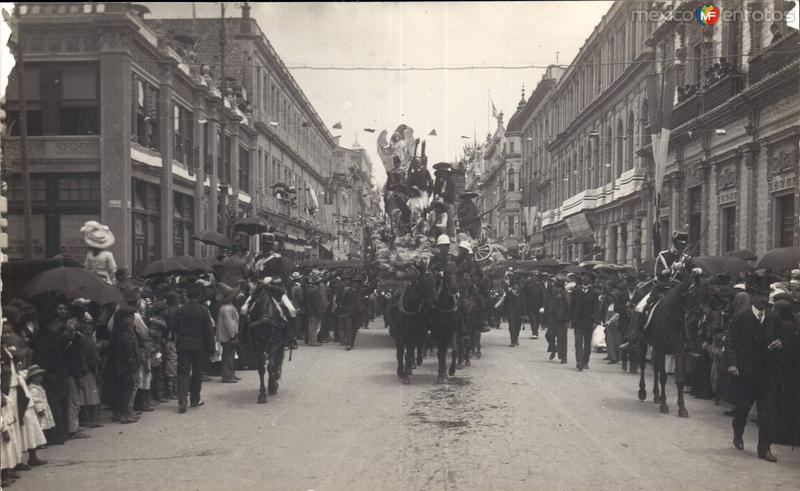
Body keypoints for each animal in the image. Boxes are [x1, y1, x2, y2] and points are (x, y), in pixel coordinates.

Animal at [636, 274, 708, 418]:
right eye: (693, 293)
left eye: (706, 294)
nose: (696, 319)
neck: (673, 318)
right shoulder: (662, 349)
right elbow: (663, 377)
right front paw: (664, 405)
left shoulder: (680, 351)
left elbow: (679, 379)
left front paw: (682, 408)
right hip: (643, 342)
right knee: (642, 365)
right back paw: (642, 392)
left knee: (655, 368)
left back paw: (656, 396)